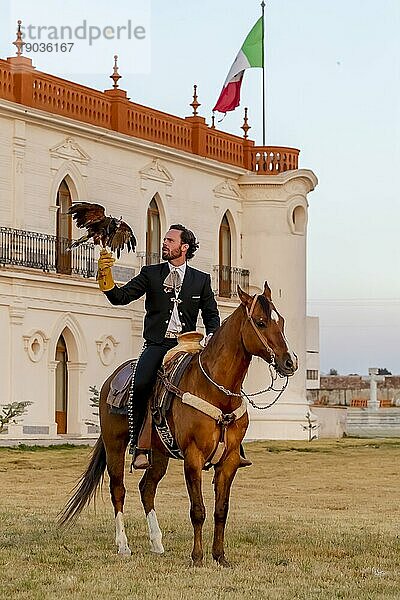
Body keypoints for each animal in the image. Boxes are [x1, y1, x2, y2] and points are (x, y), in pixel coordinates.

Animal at [59, 284, 296, 564]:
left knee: (146, 488)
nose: (289, 362)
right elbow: (198, 510)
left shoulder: (228, 462)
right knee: (118, 489)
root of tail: (112, 379)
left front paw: (219, 556)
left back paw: (157, 542)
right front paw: (197, 556)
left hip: (158, 453)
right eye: (260, 322)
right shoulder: (193, 456)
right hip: (114, 445)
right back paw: (123, 545)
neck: (217, 391)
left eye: (281, 321)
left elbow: (221, 510)